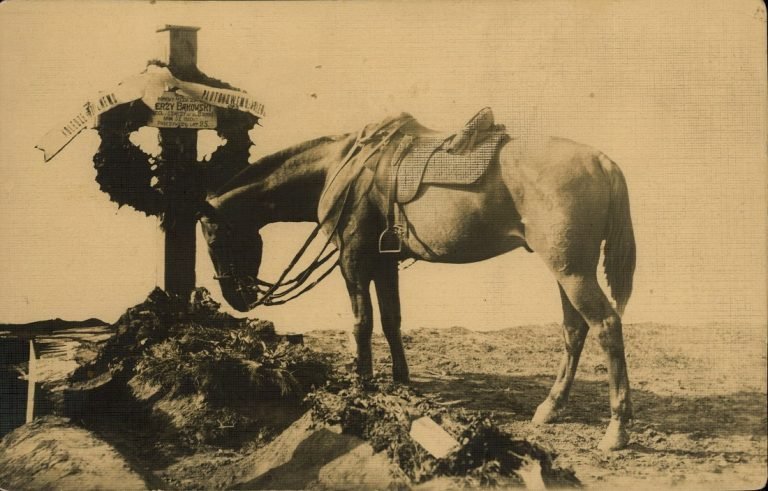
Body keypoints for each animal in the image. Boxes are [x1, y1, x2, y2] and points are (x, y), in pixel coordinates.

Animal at [196, 113, 636, 452]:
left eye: (212, 237)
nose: (236, 297)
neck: (344, 169)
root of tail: (602, 161)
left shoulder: (353, 260)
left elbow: (362, 323)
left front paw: (363, 384)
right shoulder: (383, 262)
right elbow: (391, 320)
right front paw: (401, 382)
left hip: (572, 271)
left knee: (605, 326)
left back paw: (616, 429)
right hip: (567, 270)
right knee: (574, 331)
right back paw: (550, 408)